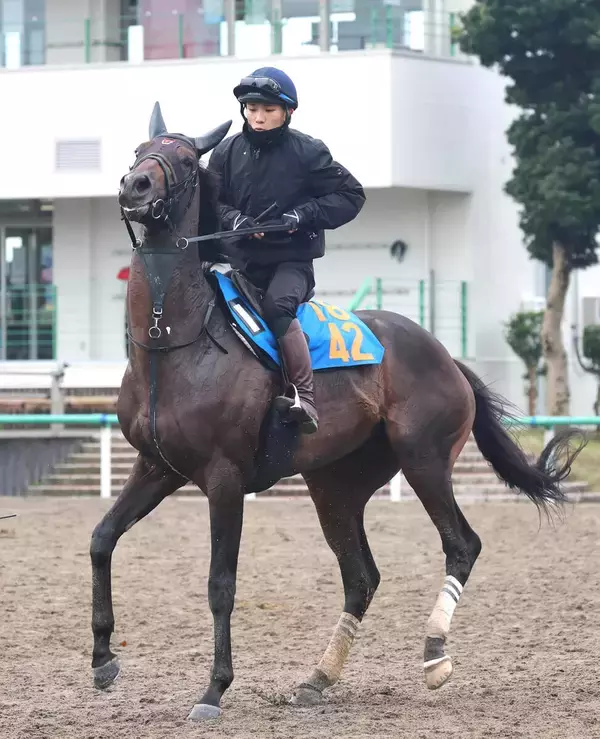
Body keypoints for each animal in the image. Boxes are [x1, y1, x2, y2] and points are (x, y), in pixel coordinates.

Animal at [90, 102, 585, 721]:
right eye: (139, 150)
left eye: (182, 158)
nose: (134, 186)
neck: (172, 342)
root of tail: (444, 353)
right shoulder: (157, 467)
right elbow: (102, 540)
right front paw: (103, 660)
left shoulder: (224, 478)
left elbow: (220, 583)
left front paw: (213, 690)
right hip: (335, 484)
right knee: (361, 576)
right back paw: (318, 677)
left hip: (424, 460)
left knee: (460, 545)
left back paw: (434, 653)